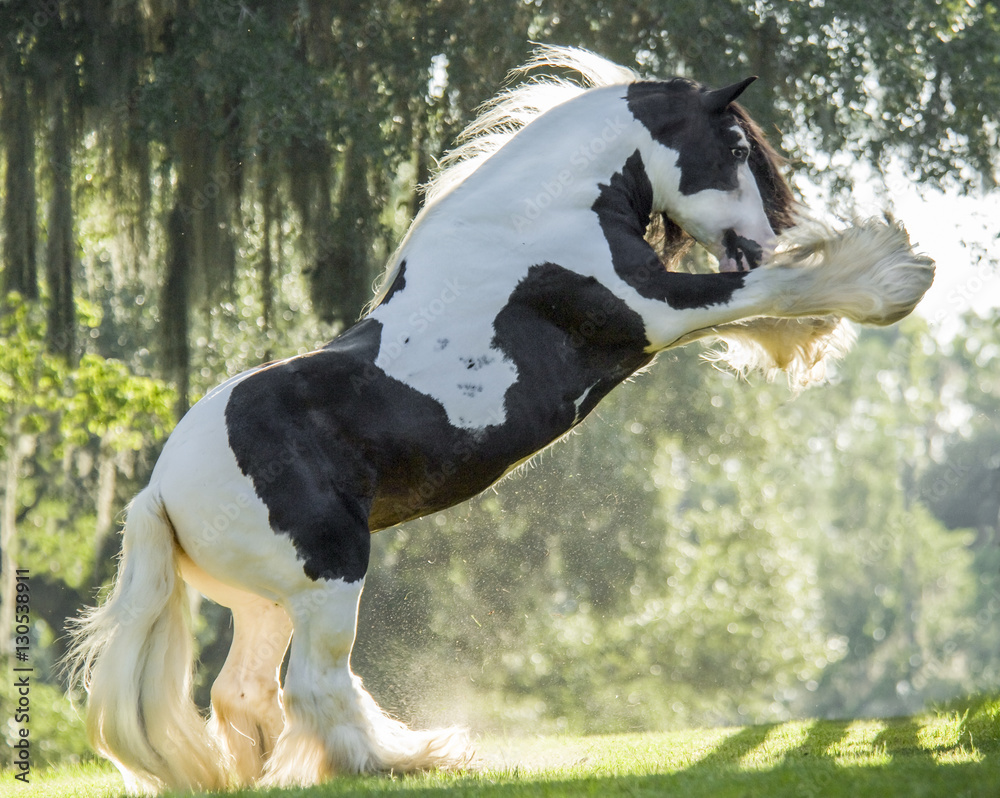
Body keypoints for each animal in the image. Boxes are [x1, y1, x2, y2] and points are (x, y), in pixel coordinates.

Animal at [67, 46, 934, 793]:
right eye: (732, 144)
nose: (759, 237)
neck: (535, 221)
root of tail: (158, 493)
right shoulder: (652, 311)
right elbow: (768, 292)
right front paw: (893, 277)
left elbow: (765, 308)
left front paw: (824, 323)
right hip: (330, 578)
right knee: (313, 685)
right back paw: (410, 758)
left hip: (269, 601)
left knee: (245, 693)